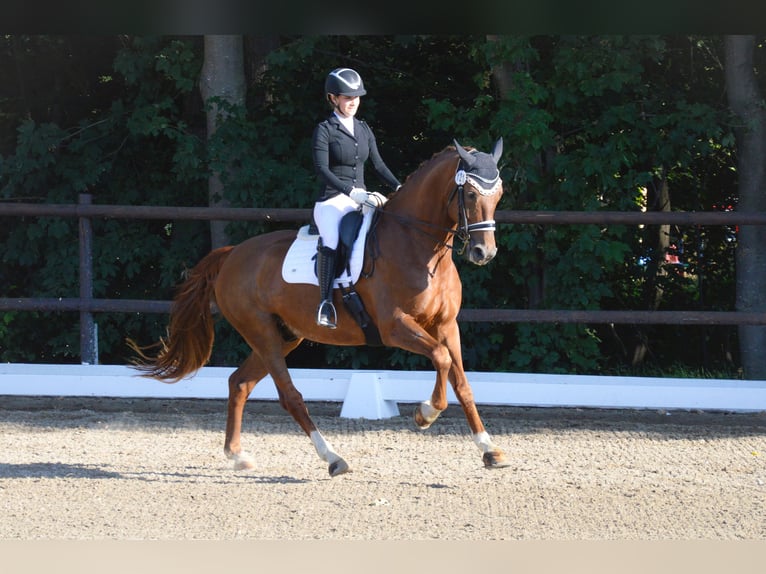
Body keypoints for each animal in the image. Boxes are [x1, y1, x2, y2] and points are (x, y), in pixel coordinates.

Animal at [130, 138, 510, 476]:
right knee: (290, 396)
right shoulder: (395, 326)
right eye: (471, 194)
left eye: (499, 195)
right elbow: (442, 360)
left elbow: (462, 383)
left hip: (284, 335)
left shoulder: (446, 325)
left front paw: (490, 450)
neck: (417, 246)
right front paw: (425, 414)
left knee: (239, 383)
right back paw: (333, 458)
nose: (484, 253)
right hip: (262, 333)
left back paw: (237, 455)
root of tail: (232, 255)